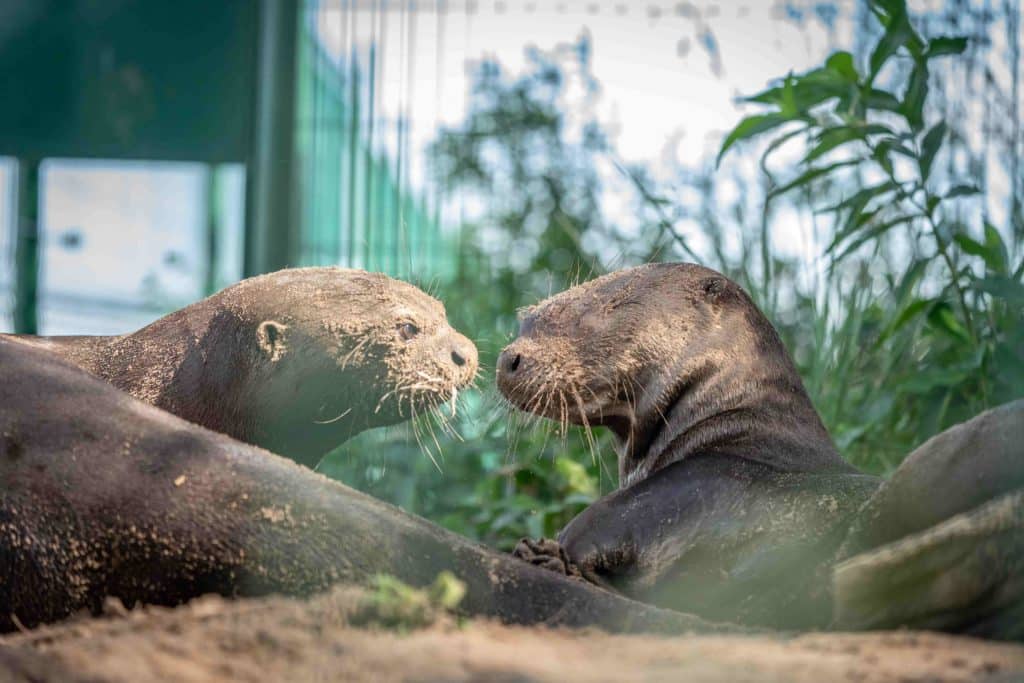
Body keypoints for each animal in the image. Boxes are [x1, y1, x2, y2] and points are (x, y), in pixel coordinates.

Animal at [497, 264, 880, 626]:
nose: (508, 359)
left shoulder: (673, 493)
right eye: (528, 319)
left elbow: (585, 531)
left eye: (595, 311)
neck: (734, 419)